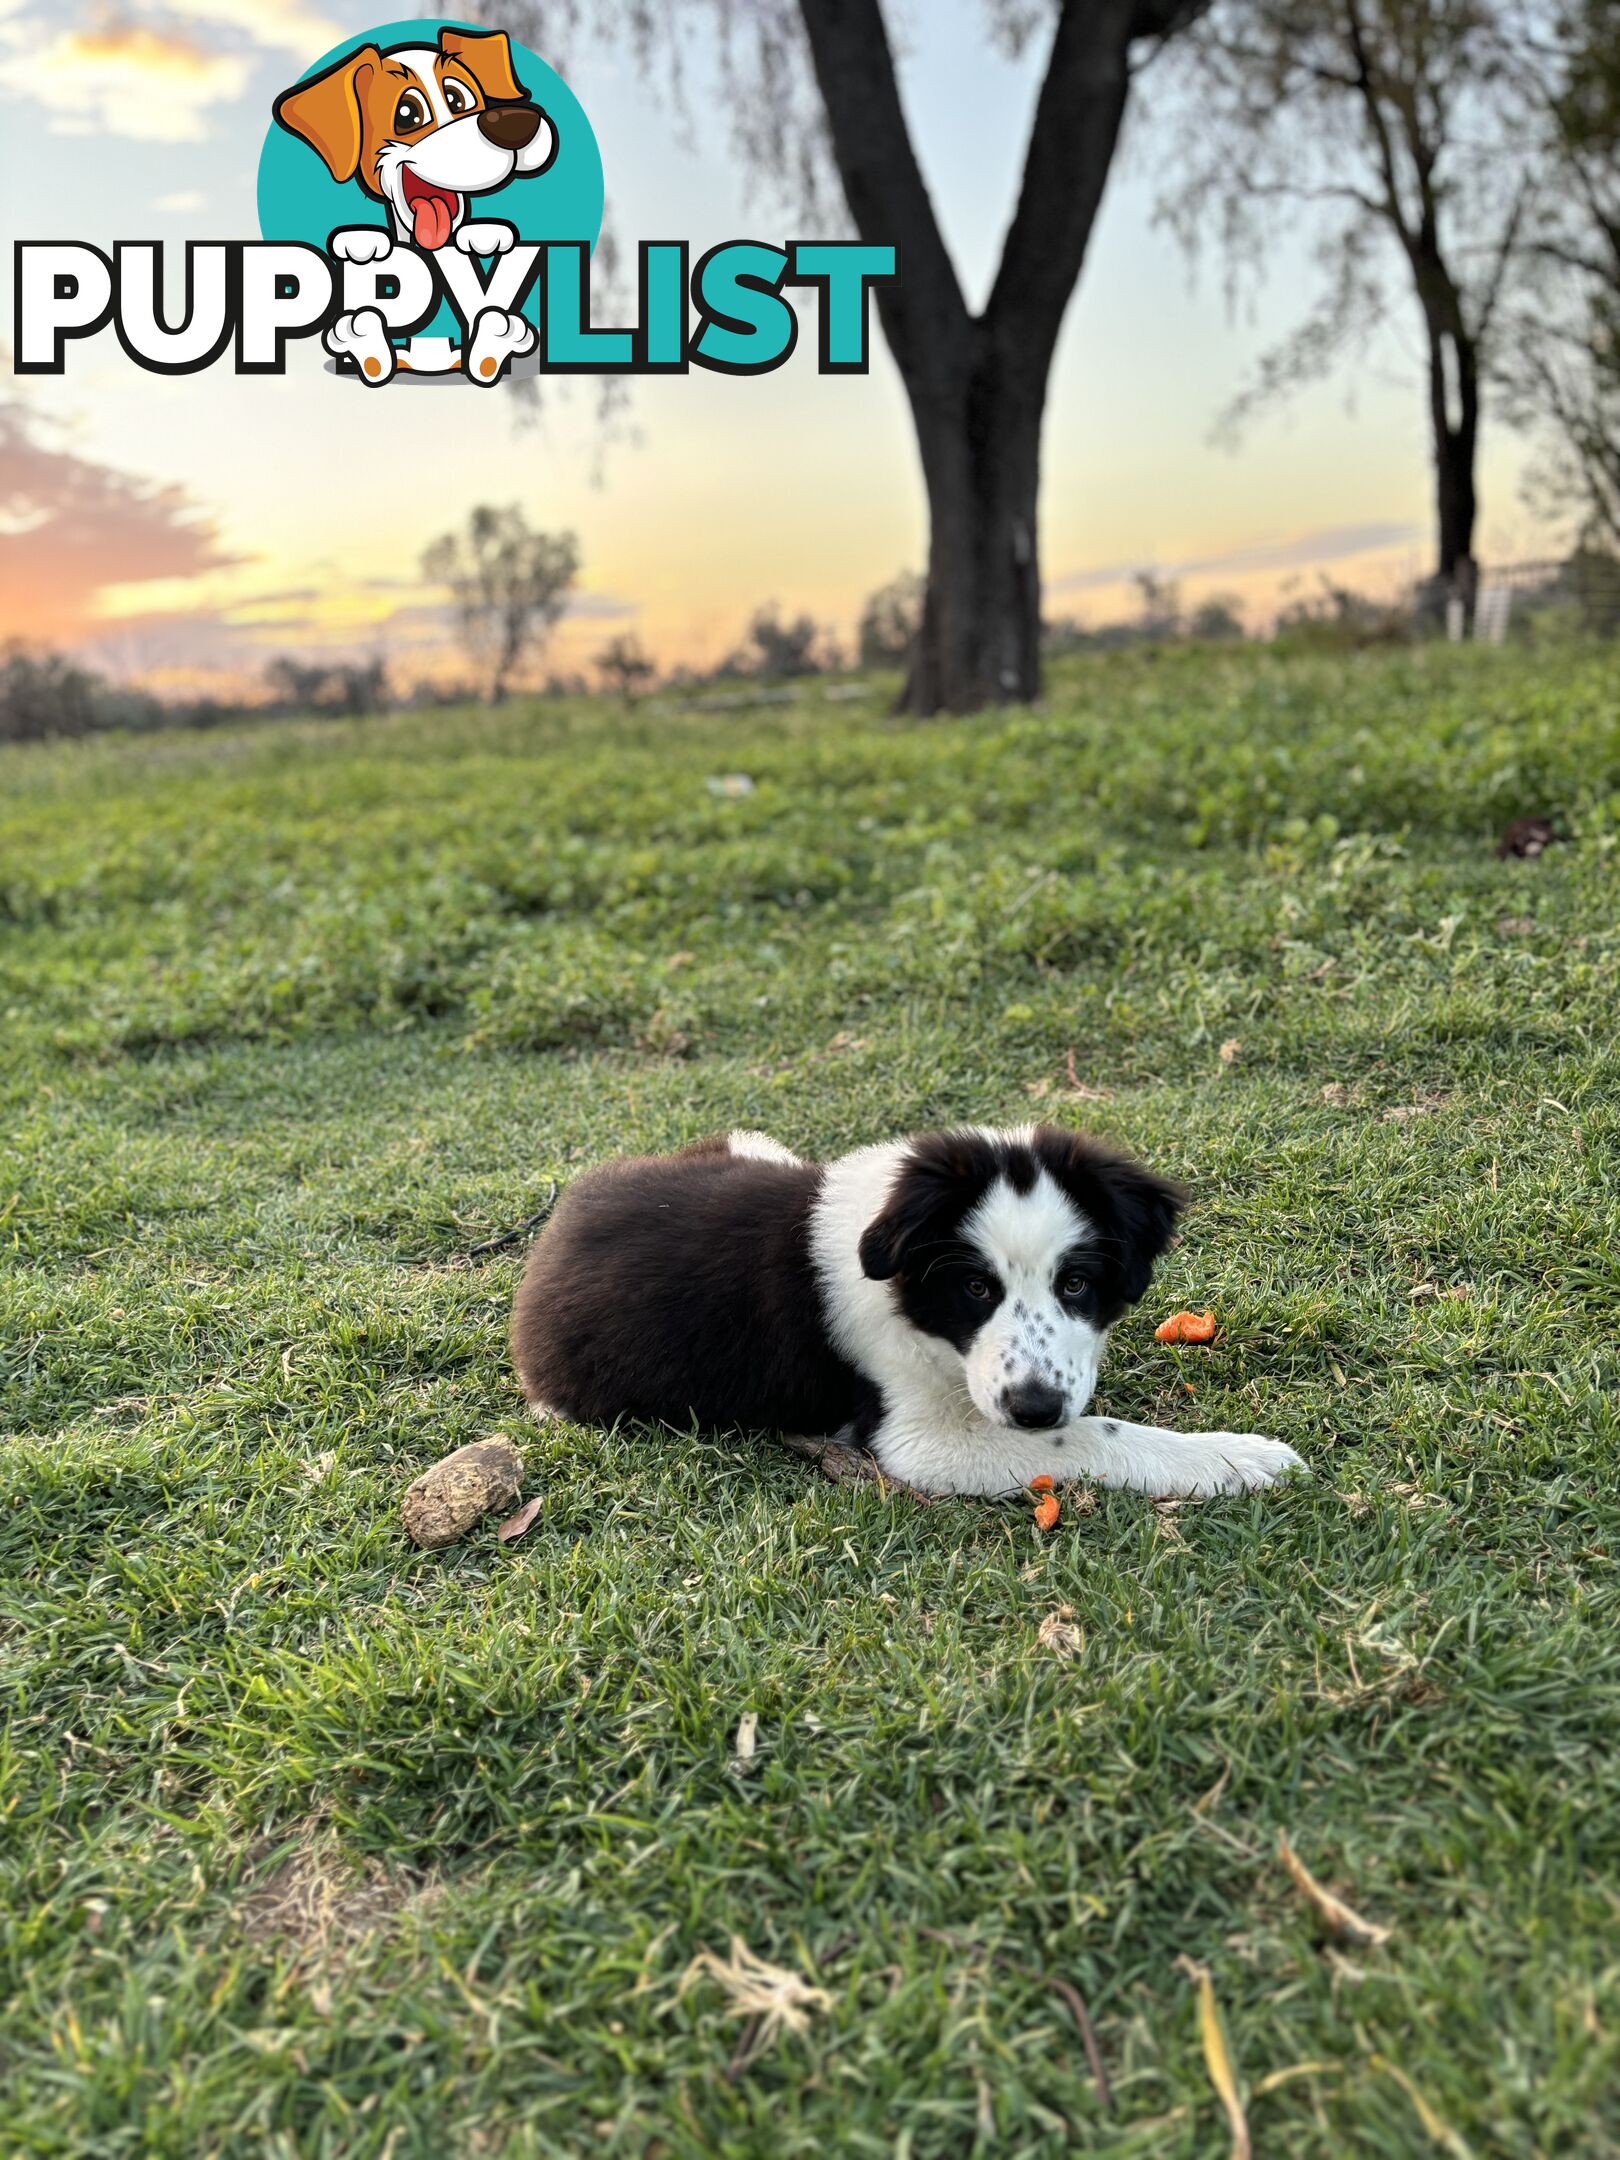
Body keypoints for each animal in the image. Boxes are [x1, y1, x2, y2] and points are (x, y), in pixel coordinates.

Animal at [514, 1131, 1313, 1503]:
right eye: (976, 1289)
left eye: (1077, 1283)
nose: (1033, 1408)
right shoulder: (921, 1444)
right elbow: (1092, 1436)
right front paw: (1235, 1458)